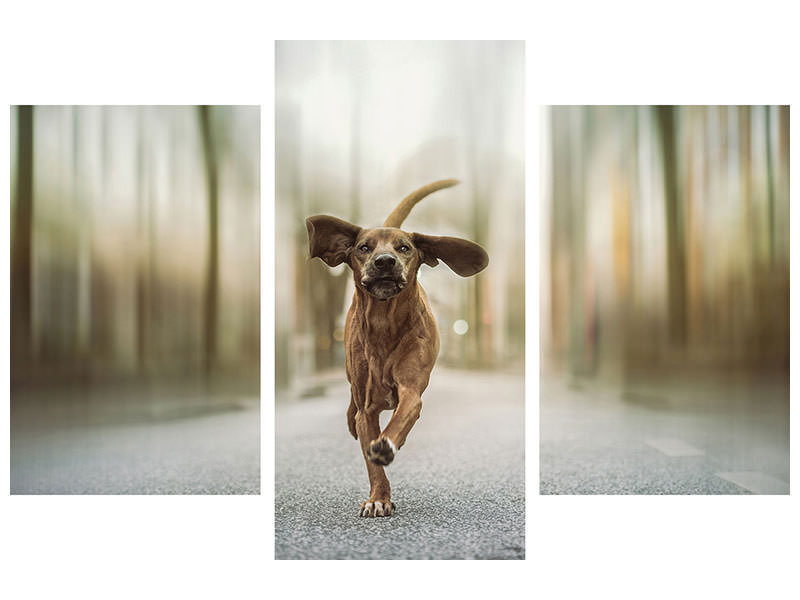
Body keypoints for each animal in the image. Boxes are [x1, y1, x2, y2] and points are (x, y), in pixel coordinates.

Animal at [304, 178, 488, 516]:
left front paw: (387, 445)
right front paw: (379, 497)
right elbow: (371, 458)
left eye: (404, 248)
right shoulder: (367, 408)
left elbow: (401, 418)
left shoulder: (411, 389)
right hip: (352, 379)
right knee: (351, 406)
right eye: (364, 247)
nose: (385, 261)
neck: (384, 326)